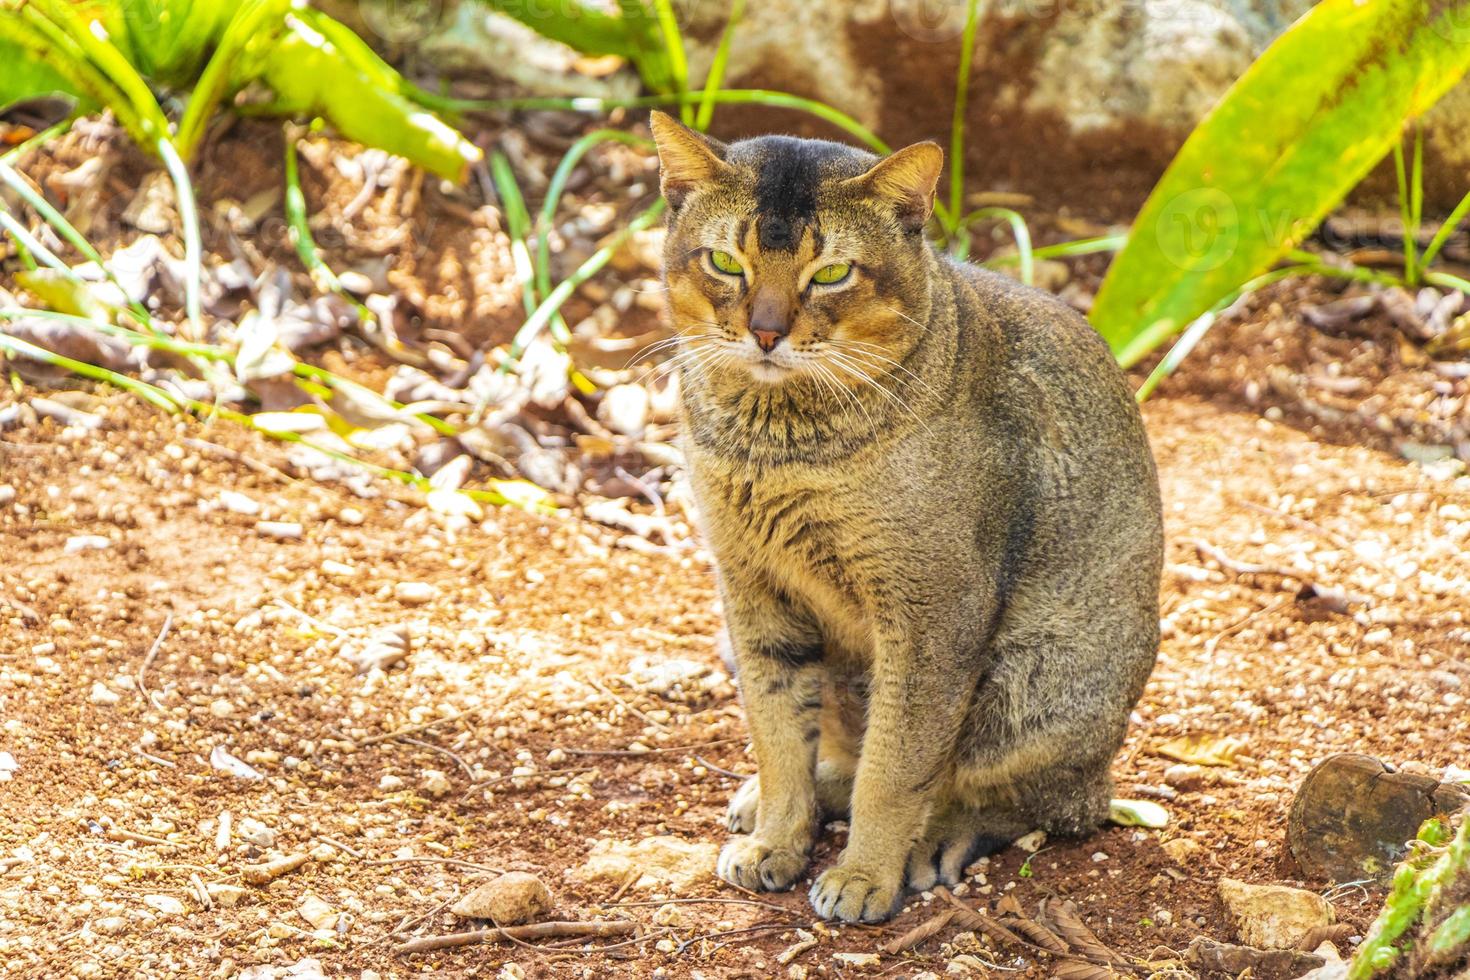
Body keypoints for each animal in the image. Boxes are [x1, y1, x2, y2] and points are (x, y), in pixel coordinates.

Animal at [649, 110, 1164, 922]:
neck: (779, 449)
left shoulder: (931, 613)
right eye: (726, 263)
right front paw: (777, 839)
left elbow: (895, 767)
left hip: (1031, 683)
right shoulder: (753, 589)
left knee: (1038, 804)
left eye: (832, 274)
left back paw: (934, 841)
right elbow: (776, 735)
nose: (765, 332)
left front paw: (864, 875)